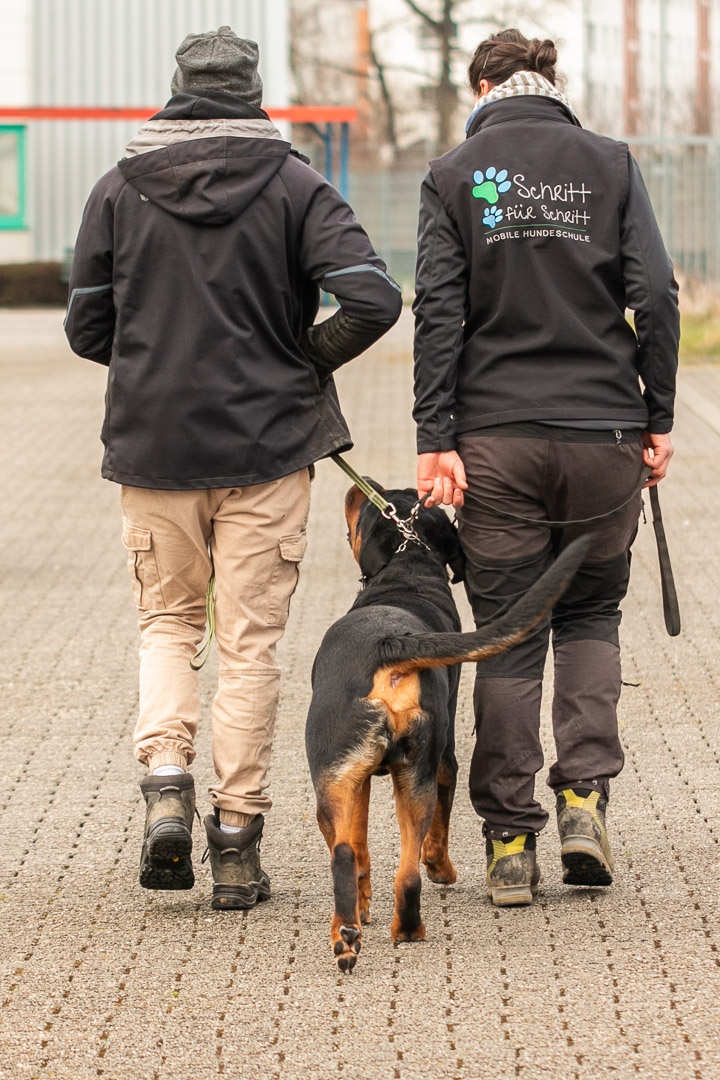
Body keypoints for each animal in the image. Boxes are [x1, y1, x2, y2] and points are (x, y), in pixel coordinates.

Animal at [306, 481, 591, 972]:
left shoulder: (396, 773)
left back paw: (367, 930)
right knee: (399, 872)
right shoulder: (396, 770)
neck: (408, 570)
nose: (362, 484)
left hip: (356, 773)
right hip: (402, 774)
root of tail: (389, 645)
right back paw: (387, 932)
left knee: (360, 855)